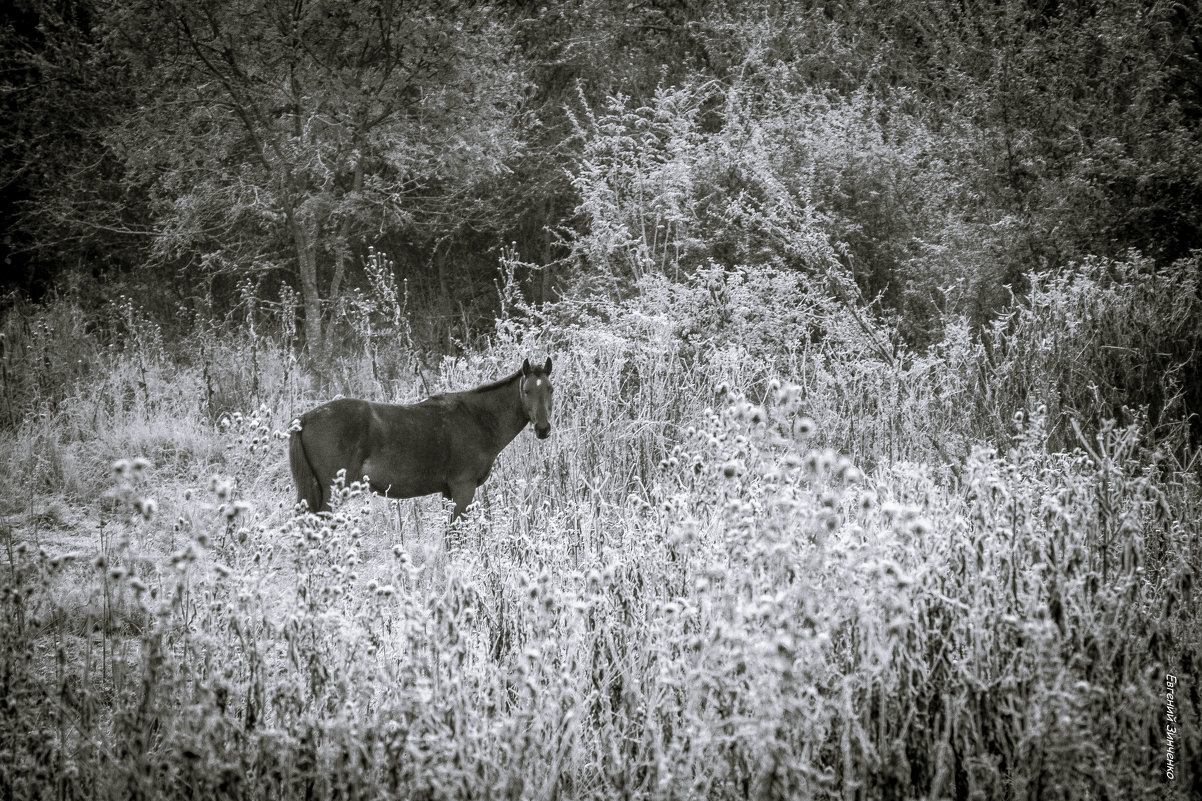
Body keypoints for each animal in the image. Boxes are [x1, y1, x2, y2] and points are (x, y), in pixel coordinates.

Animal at [290, 356, 552, 517]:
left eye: (550, 388)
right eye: (526, 391)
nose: (543, 429)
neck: (476, 417)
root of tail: (304, 418)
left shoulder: (447, 492)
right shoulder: (463, 488)